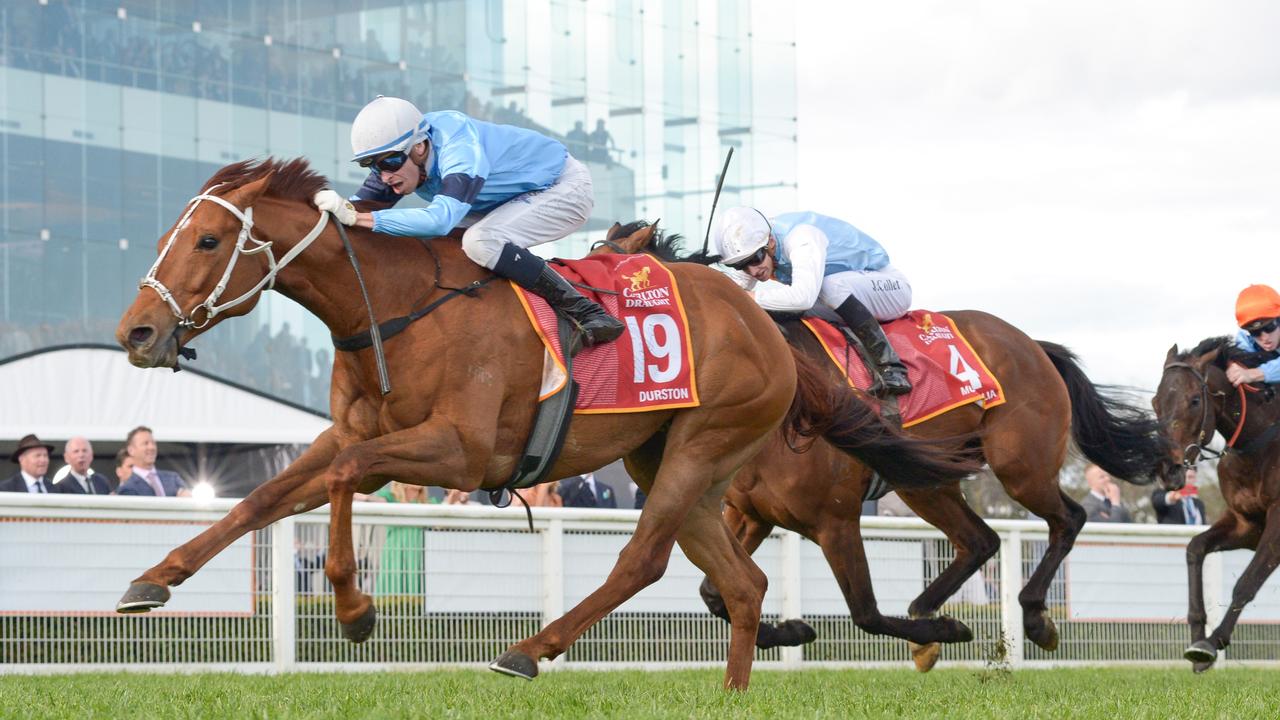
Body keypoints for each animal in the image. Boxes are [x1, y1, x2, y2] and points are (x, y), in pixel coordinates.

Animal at [112, 158, 977, 691]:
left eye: (210, 239)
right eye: (164, 238)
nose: (137, 332)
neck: (392, 306)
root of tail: (763, 320)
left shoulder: (460, 454)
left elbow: (344, 478)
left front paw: (355, 613)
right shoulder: (352, 431)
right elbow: (269, 496)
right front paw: (154, 578)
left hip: (703, 446)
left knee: (643, 561)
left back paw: (530, 651)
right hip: (675, 462)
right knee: (744, 582)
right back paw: (732, 691)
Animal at [599, 222, 1172, 666]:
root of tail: (1033, 343)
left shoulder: (835, 520)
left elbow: (867, 613)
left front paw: (945, 633)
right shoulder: (750, 512)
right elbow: (715, 592)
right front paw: (790, 631)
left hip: (1020, 467)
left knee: (1067, 519)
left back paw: (1032, 618)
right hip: (925, 480)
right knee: (981, 541)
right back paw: (928, 609)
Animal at [1152, 338, 1280, 671]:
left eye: (1195, 400)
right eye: (1155, 401)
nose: (1169, 470)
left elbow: (1246, 583)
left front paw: (1212, 643)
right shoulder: (1246, 524)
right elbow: (1195, 548)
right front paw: (1197, 636)